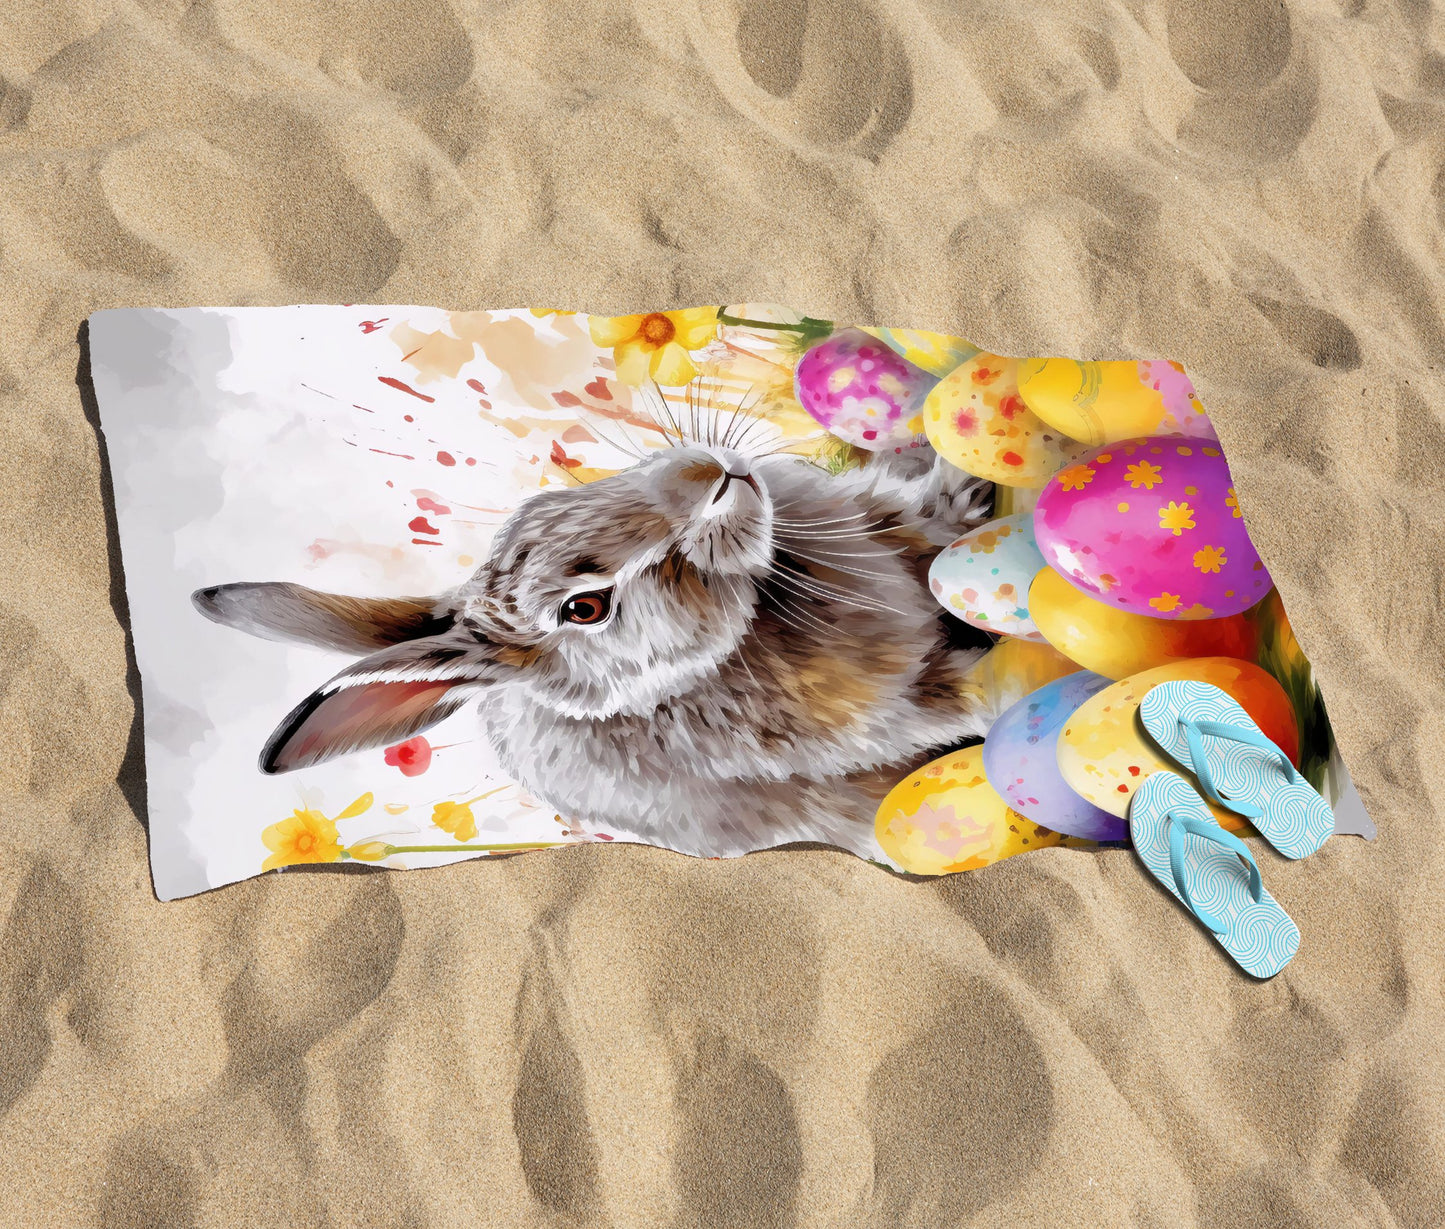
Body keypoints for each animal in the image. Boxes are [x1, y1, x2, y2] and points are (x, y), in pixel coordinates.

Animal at [192, 436, 996, 861]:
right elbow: (950, 702)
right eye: (584, 608)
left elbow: (928, 522)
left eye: (547, 504)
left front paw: (967, 485)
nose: (707, 475)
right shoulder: (879, 720)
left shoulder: (887, 525)